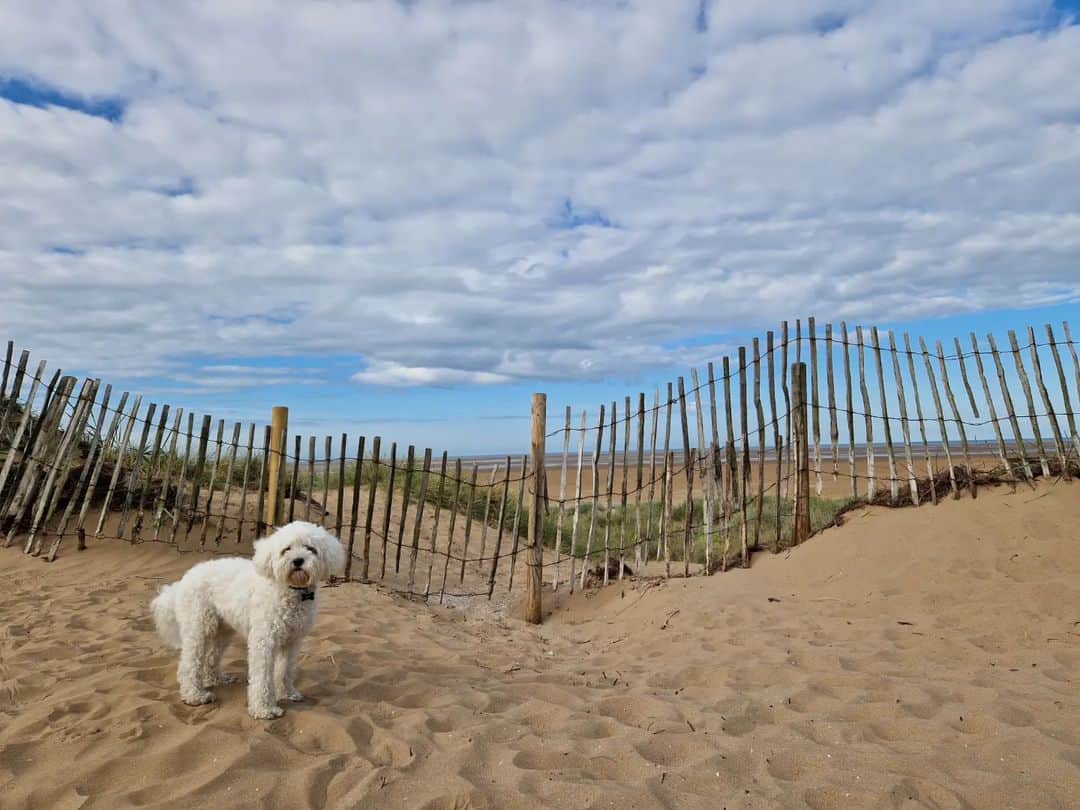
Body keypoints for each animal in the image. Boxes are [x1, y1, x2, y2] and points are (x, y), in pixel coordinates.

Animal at [150, 522, 343, 721]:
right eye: (286, 550)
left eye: (311, 549)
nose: (298, 561)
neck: (291, 590)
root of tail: (184, 579)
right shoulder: (264, 641)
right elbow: (262, 677)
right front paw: (264, 709)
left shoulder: (292, 641)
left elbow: (285, 670)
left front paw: (287, 693)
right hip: (198, 629)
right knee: (189, 664)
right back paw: (195, 696)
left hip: (222, 631)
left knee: (211, 657)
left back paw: (215, 679)